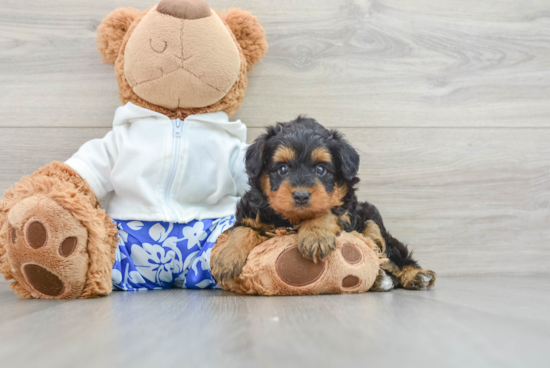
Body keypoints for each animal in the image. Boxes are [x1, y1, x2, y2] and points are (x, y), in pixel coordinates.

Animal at [213, 117, 438, 290]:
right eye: (283, 169)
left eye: (321, 170)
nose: (301, 196)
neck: (293, 220)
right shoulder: (252, 213)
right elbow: (243, 229)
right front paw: (226, 257)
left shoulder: (347, 211)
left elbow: (328, 210)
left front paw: (315, 236)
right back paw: (381, 279)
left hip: (372, 220)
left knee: (391, 250)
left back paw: (416, 275)